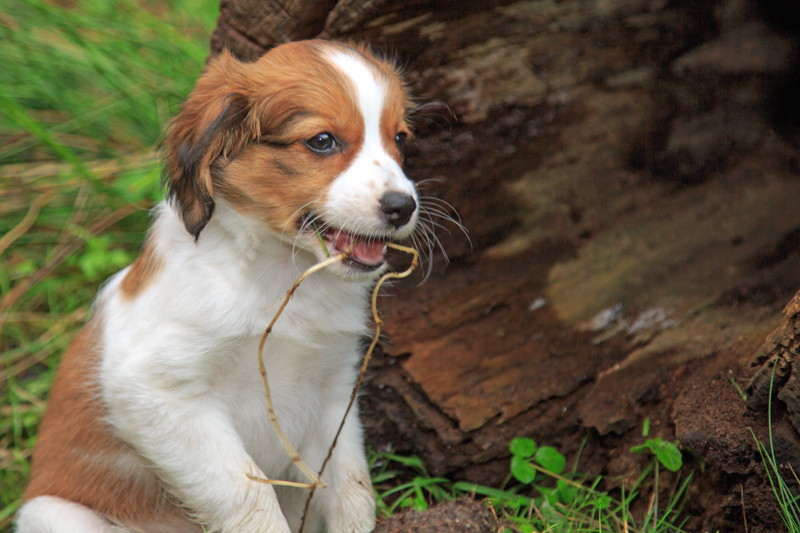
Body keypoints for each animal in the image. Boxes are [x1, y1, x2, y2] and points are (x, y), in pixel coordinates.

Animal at [17, 40, 418, 532]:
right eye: (322, 141)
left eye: (400, 139)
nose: (403, 207)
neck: (281, 275)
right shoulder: (155, 391)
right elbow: (250, 495)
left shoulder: (334, 392)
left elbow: (353, 492)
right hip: (57, 514)